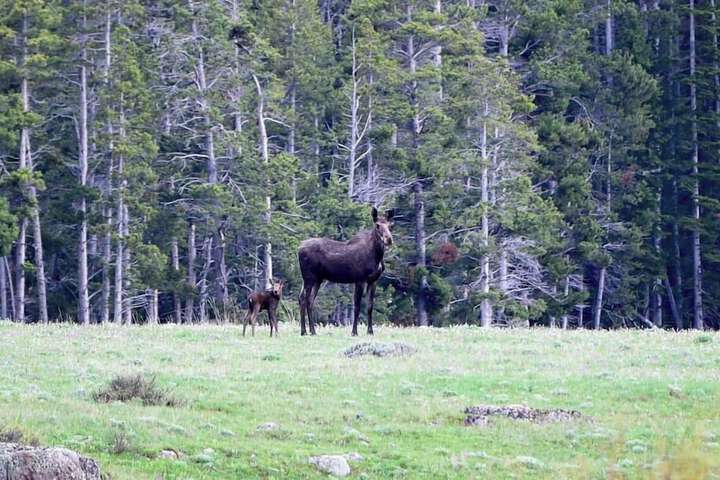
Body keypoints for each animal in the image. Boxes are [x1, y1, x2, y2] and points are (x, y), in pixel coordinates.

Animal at [296, 208, 394, 336]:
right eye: (377, 225)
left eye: (390, 225)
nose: (389, 239)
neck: (377, 256)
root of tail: (299, 248)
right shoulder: (360, 279)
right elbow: (357, 306)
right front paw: (354, 332)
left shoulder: (373, 280)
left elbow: (369, 306)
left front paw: (370, 331)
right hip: (309, 277)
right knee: (307, 299)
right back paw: (312, 331)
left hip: (316, 279)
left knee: (304, 298)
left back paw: (304, 331)